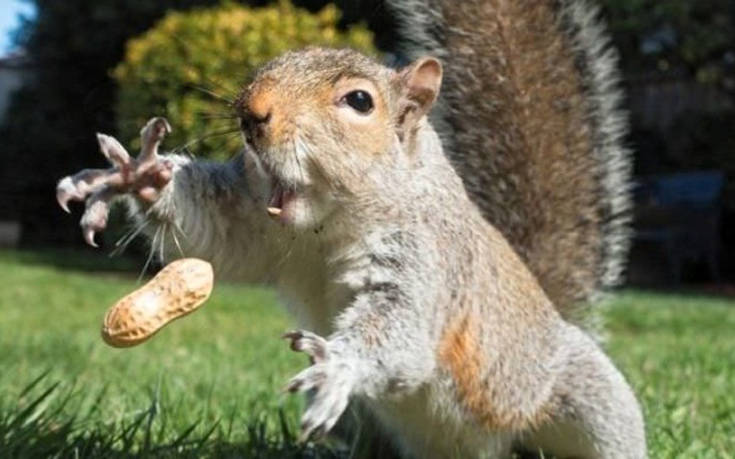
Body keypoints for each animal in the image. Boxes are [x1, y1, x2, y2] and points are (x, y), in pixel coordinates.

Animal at [56, 0, 644, 459]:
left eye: (359, 101)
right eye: (267, 65)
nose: (251, 112)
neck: (327, 226)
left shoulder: (428, 262)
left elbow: (401, 329)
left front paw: (339, 363)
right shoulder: (251, 222)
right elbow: (213, 234)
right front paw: (138, 175)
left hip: (580, 399)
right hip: (367, 419)